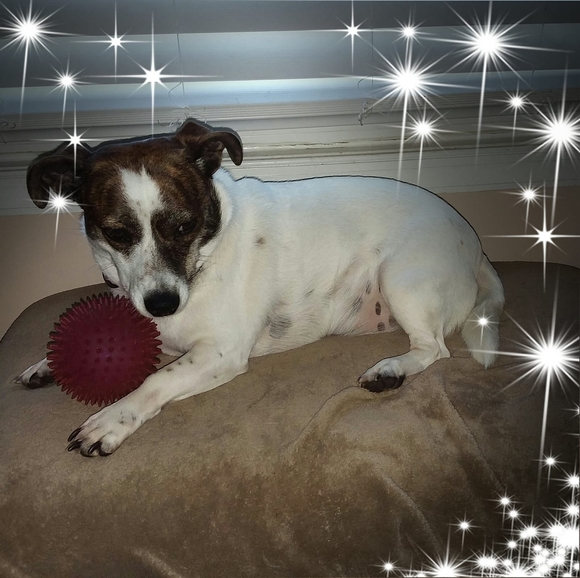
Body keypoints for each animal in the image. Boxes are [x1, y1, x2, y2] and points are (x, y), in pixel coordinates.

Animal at [18, 118, 504, 457]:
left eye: (184, 226)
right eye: (117, 233)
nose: (162, 305)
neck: (206, 254)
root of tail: (477, 247)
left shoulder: (220, 353)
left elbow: (155, 382)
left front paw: (113, 420)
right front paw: (46, 364)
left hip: (401, 278)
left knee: (434, 349)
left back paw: (392, 370)